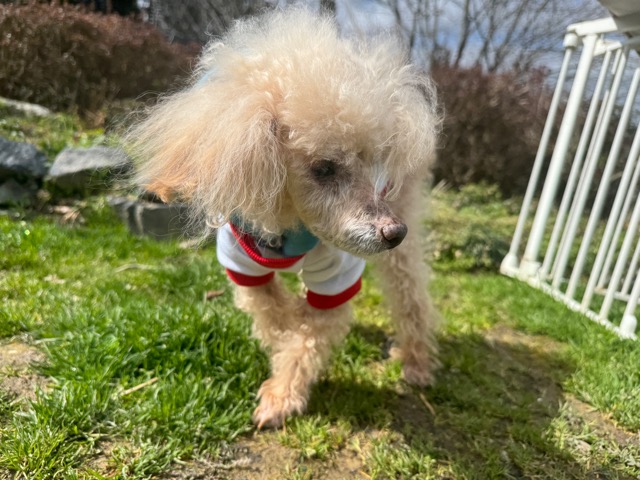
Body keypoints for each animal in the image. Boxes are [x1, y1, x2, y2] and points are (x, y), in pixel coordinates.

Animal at [129, 7, 441, 428]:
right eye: (324, 168)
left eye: (375, 165)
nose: (394, 232)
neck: (289, 223)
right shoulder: (244, 265)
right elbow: (276, 318)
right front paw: (286, 329)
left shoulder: (336, 277)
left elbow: (306, 338)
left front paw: (281, 396)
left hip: (401, 234)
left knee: (412, 298)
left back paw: (416, 363)